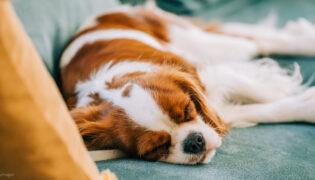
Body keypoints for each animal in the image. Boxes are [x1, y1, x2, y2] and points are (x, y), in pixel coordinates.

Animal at [60, 2, 315, 165]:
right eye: (155, 148)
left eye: (187, 110)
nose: (194, 141)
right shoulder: (217, 111)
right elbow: (265, 109)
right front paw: (302, 106)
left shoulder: (208, 76)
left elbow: (266, 93)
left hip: (200, 42)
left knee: (257, 41)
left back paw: (304, 39)